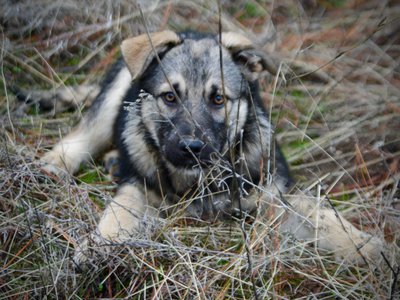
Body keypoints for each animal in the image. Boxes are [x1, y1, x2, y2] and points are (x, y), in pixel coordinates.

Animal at [42, 30, 382, 264]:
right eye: (169, 97)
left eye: (218, 99)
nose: (190, 147)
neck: (199, 180)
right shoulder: (137, 185)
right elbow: (119, 212)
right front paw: (99, 245)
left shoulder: (275, 194)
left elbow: (322, 216)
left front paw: (370, 248)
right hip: (117, 93)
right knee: (86, 132)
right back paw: (52, 165)